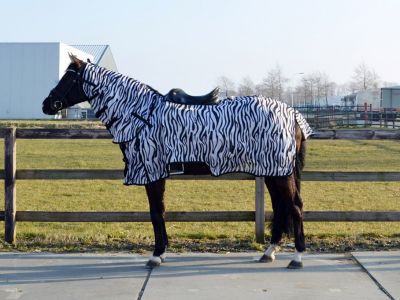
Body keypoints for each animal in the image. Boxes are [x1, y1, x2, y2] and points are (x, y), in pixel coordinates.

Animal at [43, 54, 312, 270]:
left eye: (68, 78)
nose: (47, 104)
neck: (140, 115)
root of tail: (292, 114)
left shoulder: (152, 172)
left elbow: (155, 213)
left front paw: (156, 255)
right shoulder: (156, 173)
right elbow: (160, 212)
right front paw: (161, 252)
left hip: (280, 172)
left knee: (295, 206)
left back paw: (297, 258)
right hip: (272, 171)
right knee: (280, 207)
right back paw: (269, 252)